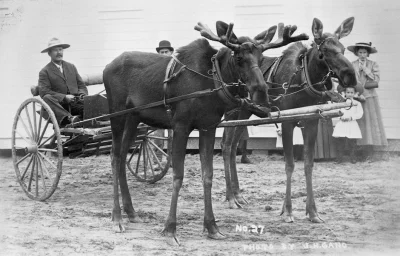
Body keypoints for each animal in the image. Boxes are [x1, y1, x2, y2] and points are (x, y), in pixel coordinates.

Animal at [101, 21, 308, 245]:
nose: (261, 92)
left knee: (122, 157)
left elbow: (207, 175)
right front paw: (170, 229)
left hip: (134, 118)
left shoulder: (208, 126)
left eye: (261, 58)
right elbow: (178, 176)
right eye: (239, 58)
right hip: (117, 115)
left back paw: (130, 211)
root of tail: (105, 68)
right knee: (114, 156)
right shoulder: (181, 125)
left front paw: (211, 226)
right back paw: (117, 217)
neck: (213, 83)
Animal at [222, 17, 356, 223]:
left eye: (343, 48)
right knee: (226, 145)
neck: (305, 82)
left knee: (232, 145)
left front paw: (312, 212)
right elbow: (290, 164)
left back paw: (237, 194)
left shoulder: (311, 121)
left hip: (244, 113)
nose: (351, 76)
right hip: (232, 112)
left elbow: (308, 164)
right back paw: (230, 197)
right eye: (324, 51)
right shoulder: (287, 122)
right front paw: (288, 210)